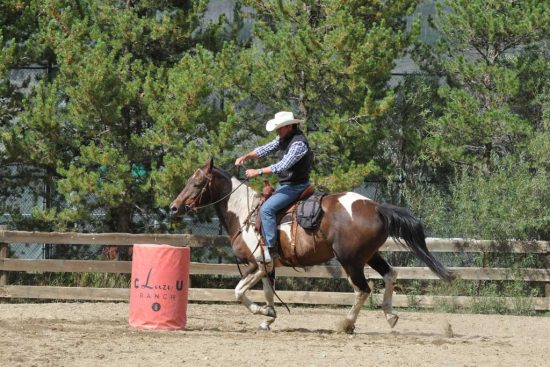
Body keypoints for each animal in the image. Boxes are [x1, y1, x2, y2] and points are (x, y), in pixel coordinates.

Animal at [170, 158, 454, 334]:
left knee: (363, 289)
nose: (174, 207)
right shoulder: (268, 266)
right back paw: (390, 315)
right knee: (390, 275)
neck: (243, 213)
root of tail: (375, 206)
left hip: (350, 260)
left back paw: (346, 324)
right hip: (369, 255)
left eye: (197, 183)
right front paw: (268, 318)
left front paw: (260, 311)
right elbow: (269, 292)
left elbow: (239, 292)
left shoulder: (256, 263)